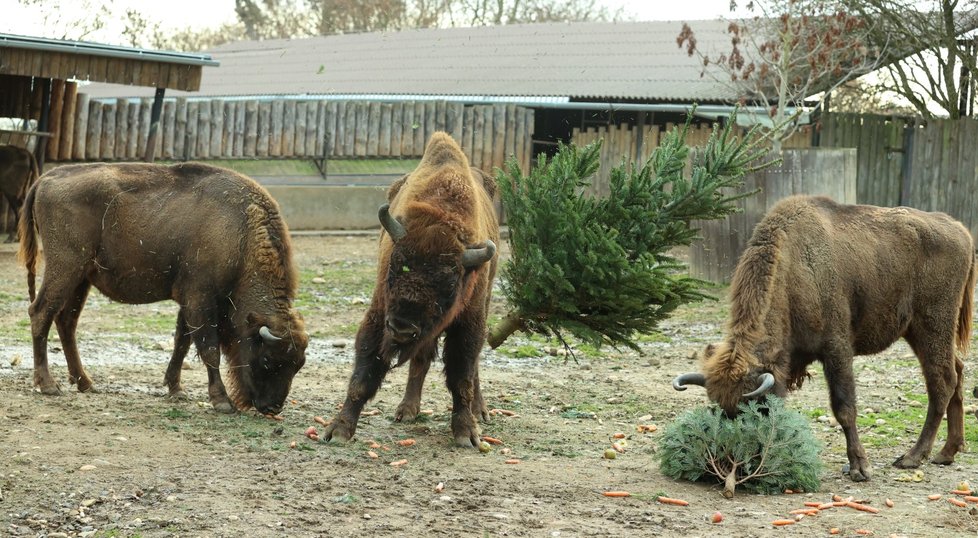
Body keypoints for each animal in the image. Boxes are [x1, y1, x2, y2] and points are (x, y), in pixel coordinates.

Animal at [20, 161, 308, 412]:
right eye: (267, 360)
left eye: (298, 364)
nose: (272, 407)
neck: (240, 237)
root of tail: (45, 179)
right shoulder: (200, 299)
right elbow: (208, 349)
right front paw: (221, 401)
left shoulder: (188, 301)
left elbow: (182, 342)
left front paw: (176, 389)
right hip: (65, 268)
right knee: (41, 313)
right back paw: (48, 385)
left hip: (82, 278)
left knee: (66, 322)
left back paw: (85, 383)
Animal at [324, 132, 500, 446]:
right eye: (396, 265)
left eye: (450, 282)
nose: (403, 328)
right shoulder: (380, 312)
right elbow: (362, 376)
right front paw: (340, 430)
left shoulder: (469, 321)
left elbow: (463, 376)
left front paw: (467, 434)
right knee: (421, 360)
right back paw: (407, 410)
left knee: (471, 365)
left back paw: (480, 411)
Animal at [676, 195, 972, 480]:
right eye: (719, 409)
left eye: (755, 408)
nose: (731, 464)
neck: (792, 268)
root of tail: (961, 230)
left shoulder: (837, 349)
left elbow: (844, 407)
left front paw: (860, 469)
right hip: (918, 332)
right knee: (956, 370)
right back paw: (947, 452)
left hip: (932, 325)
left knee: (942, 381)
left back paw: (912, 457)